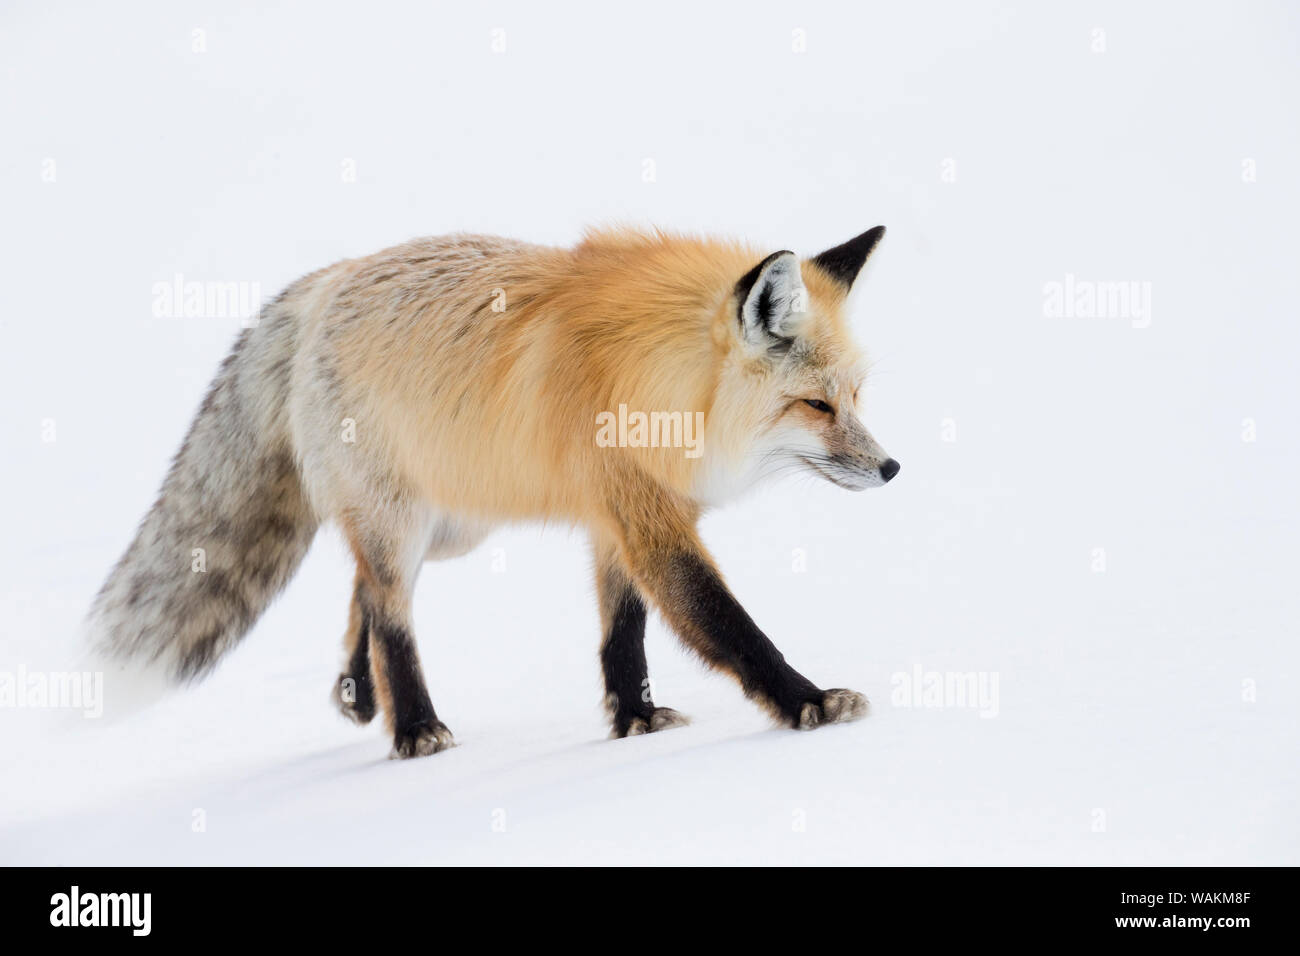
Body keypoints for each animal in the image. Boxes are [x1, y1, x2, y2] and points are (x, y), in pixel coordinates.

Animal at [91, 223, 899, 754]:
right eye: (816, 406)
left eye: (856, 397)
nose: (892, 469)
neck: (658, 383)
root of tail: (326, 281)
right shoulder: (648, 523)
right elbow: (729, 625)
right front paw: (808, 702)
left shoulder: (614, 519)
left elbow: (623, 634)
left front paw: (633, 722)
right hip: (405, 522)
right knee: (389, 611)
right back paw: (413, 725)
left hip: (452, 528)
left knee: (363, 591)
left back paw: (358, 693)